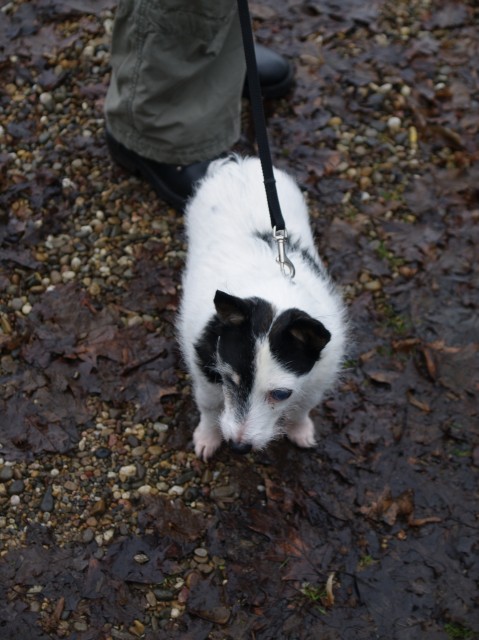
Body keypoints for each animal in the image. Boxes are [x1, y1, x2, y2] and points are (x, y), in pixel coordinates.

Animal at [178, 156, 346, 460]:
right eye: (230, 381)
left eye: (280, 394)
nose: (238, 447)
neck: (275, 292)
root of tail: (237, 163)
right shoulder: (206, 371)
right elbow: (209, 407)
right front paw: (208, 437)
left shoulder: (316, 381)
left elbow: (303, 407)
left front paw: (300, 429)